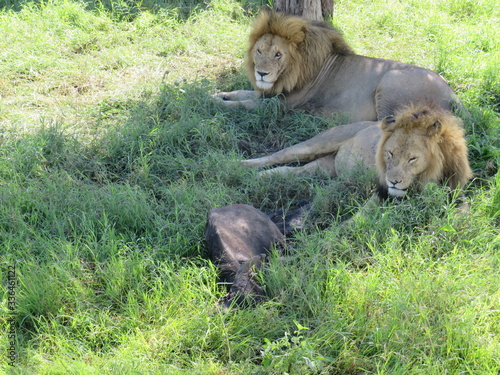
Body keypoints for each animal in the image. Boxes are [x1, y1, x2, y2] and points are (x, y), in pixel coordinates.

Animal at [217, 8, 462, 122]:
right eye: (259, 51)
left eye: (278, 55)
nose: (261, 73)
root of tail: (451, 91)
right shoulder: (268, 94)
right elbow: (242, 93)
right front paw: (218, 94)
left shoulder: (279, 106)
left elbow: (243, 104)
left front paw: (216, 105)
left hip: (391, 80)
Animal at [242, 103, 472, 203]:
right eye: (389, 154)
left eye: (412, 159)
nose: (393, 182)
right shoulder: (381, 192)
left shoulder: (456, 191)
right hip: (319, 142)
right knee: (281, 155)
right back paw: (243, 166)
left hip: (326, 167)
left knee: (295, 172)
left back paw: (264, 177)